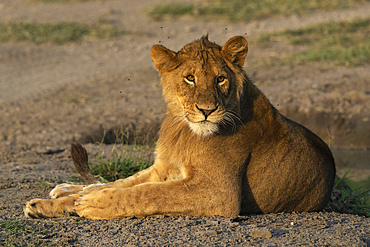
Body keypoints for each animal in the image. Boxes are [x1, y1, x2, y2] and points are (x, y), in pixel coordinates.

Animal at [22, 35, 336, 219]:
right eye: (190, 78)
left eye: (220, 79)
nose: (207, 110)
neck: (184, 130)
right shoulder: (163, 168)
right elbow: (128, 184)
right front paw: (48, 204)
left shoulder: (218, 193)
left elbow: (146, 193)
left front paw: (92, 204)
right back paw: (67, 189)